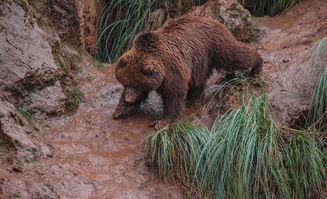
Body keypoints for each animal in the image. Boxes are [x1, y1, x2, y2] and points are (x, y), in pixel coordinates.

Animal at [113, 15, 264, 129]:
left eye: (136, 85)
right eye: (126, 83)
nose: (128, 97)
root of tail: (211, 19)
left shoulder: (172, 69)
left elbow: (174, 94)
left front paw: (161, 121)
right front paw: (119, 110)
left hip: (215, 45)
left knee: (235, 55)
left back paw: (257, 66)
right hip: (200, 60)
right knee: (200, 79)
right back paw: (194, 96)